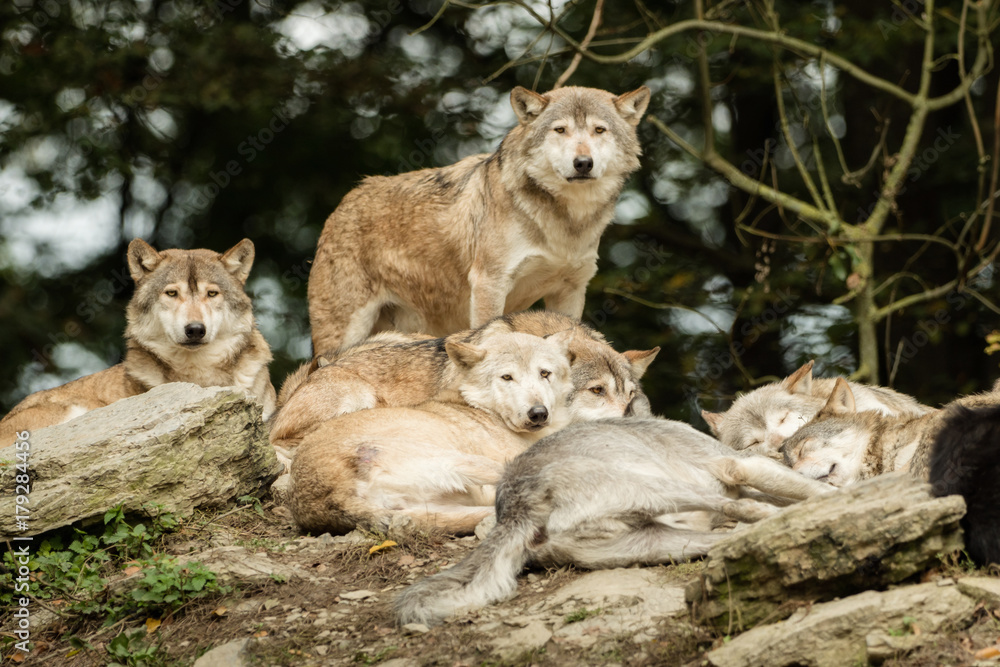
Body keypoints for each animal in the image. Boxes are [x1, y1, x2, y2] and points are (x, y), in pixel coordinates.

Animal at [287, 330, 579, 535]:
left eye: (545, 373)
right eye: (507, 377)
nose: (538, 413)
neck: (484, 410)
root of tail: (324, 499)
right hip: (470, 463)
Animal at [307, 85, 651, 354]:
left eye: (599, 130)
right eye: (560, 130)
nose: (582, 163)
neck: (565, 223)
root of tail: (345, 201)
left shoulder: (571, 290)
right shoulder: (490, 284)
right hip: (342, 332)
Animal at [394, 418, 833, 627]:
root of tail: (515, 507)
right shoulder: (742, 466)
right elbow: (802, 487)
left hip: (660, 542)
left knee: (737, 531)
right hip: (657, 487)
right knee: (752, 514)